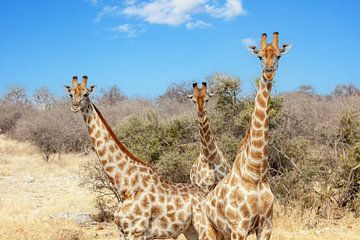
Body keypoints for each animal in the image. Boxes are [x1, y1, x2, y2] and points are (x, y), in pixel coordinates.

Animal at [63, 76, 207, 240]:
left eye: (86, 94)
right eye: (70, 94)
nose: (74, 106)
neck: (125, 187)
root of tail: (205, 194)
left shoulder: (136, 231)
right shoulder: (122, 232)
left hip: (203, 225)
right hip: (189, 229)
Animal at [198, 32, 292, 240]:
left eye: (278, 56)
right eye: (259, 57)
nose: (268, 71)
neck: (255, 174)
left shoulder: (266, 225)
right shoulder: (239, 226)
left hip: (223, 234)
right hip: (209, 230)